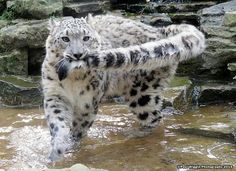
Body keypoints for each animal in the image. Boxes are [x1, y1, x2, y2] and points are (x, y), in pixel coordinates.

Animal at [41, 14, 206, 161]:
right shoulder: (55, 95)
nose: (77, 54)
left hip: (141, 93)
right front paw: (57, 149)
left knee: (154, 117)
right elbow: (57, 123)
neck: (72, 79)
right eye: (65, 38)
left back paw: (135, 133)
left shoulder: (87, 102)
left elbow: (79, 127)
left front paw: (73, 144)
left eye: (86, 38)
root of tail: (159, 30)